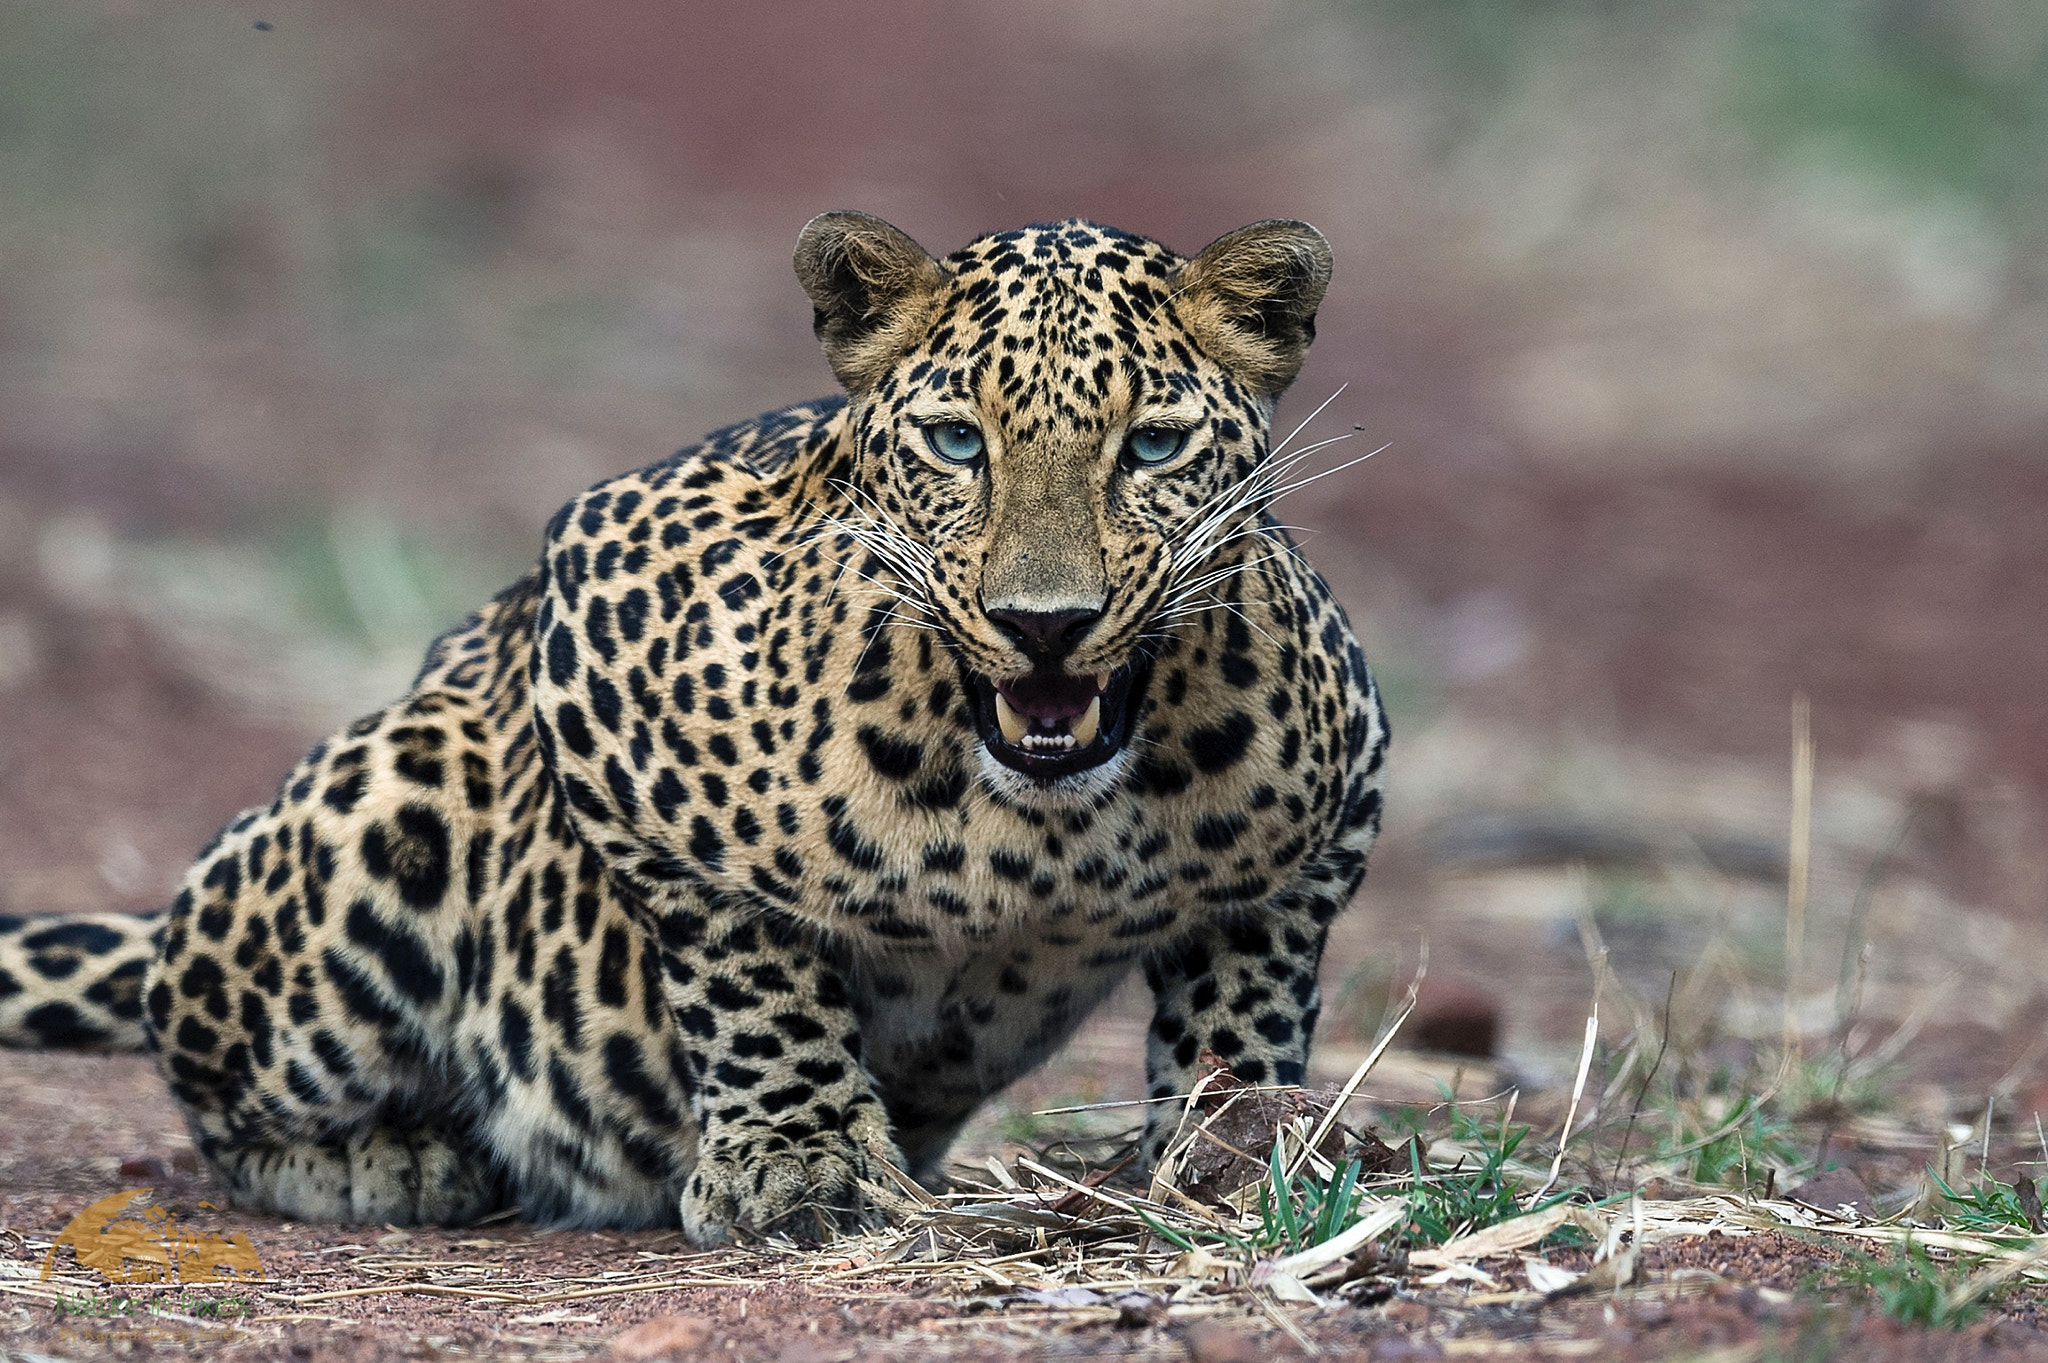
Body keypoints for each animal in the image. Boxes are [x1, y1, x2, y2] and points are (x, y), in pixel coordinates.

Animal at [0, 212, 1392, 1244]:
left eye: (1150, 447)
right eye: (956, 441)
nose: (1043, 624)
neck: (1041, 824)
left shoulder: (1337, 802)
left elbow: (1246, 985)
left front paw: (1229, 1141)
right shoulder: (595, 617)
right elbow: (744, 958)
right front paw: (802, 1157)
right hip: (400, 786)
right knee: (206, 1081)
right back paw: (387, 1158)